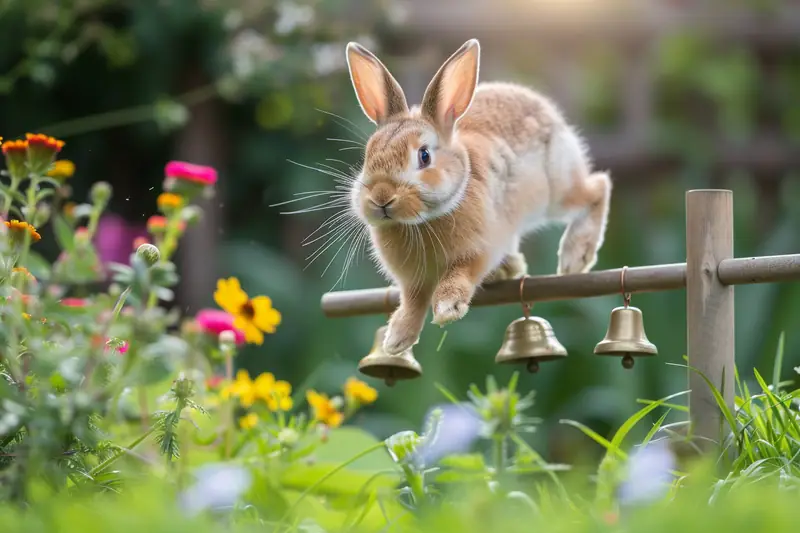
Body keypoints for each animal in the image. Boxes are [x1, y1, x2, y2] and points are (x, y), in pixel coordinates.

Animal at [344, 38, 612, 356]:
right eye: (367, 156)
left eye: (424, 156)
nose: (381, 197)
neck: (421, 222)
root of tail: (544, 108)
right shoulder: (412, 282)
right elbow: (412, 302)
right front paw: (397, 338)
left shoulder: (478, 250)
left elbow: (460, 275)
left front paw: (447, 307)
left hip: (557, 190)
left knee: (597, 187)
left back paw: (575, 256)